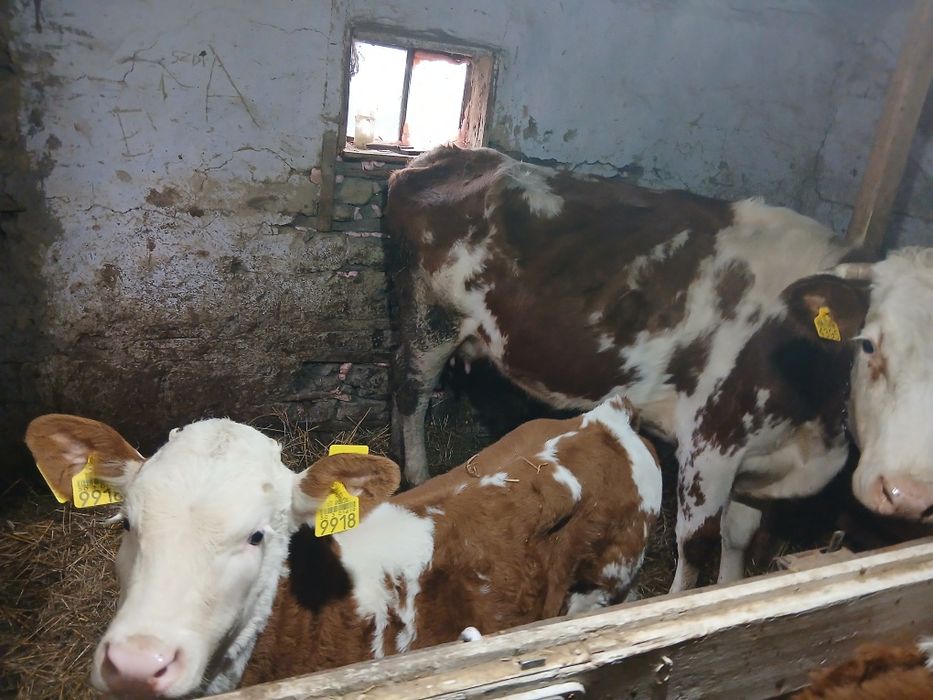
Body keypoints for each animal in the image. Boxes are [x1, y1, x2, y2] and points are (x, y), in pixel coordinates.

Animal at [385, 145, 933, 592]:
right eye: (869, 343)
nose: (904, 492)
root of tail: (449, 155)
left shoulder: (758, 458)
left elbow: (738, 538)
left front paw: (726, 591)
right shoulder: (712, 441)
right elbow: (696, 543)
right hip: (431, 318)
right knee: (412, 393)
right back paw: (416, 474)